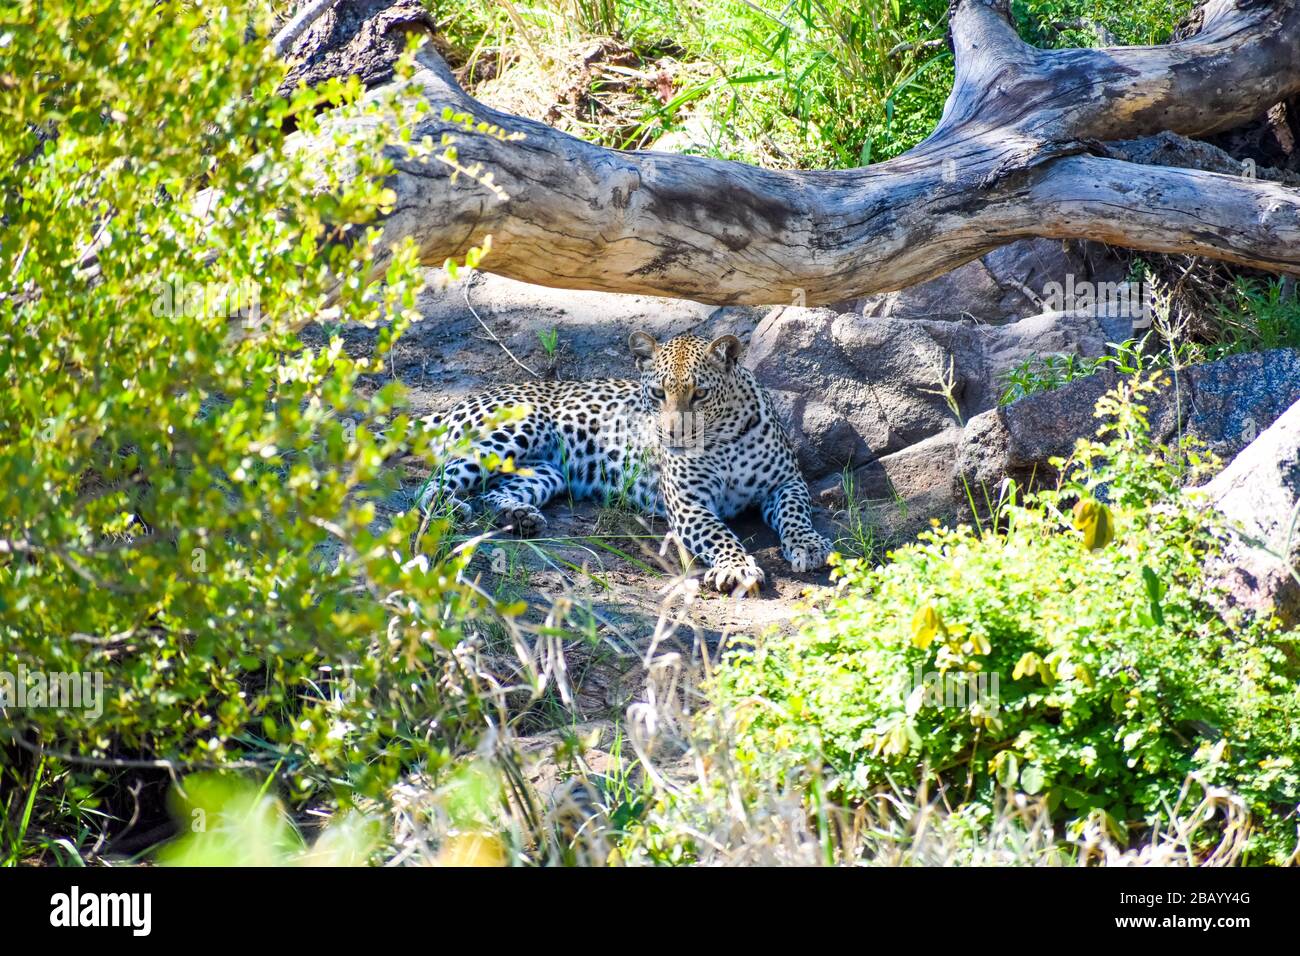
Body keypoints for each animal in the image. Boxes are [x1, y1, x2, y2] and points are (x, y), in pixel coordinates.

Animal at [418, 331, 834, 595]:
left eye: (700, 394)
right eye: (657, 393)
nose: (672, 435)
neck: (723, 438)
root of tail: (463, 400)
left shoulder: (787, 482)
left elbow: (796, 513)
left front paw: (809, 545)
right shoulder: (688, 502)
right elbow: (719, 533)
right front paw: (737, 566)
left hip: (545, 471)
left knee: (493, 491)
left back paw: (518, 516)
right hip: (513, 429)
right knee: (434, 482)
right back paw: (447, 508)